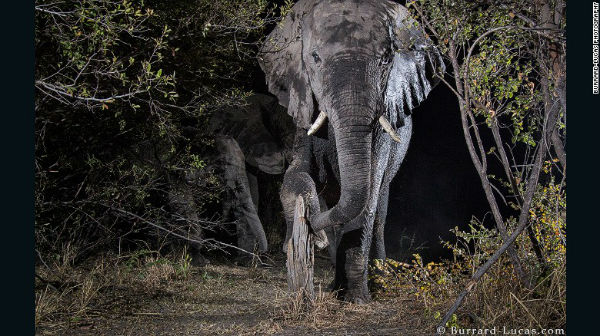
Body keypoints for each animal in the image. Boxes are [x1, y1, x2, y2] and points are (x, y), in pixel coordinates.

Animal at [258, 0, 446, 302]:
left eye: (385, 60)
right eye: (315, 58)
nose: (314, 231)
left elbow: (367, 199)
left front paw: (356, 299)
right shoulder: (303, 110)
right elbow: (295, 175)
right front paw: (310, 223)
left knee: (379, 211)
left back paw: (377, 280)